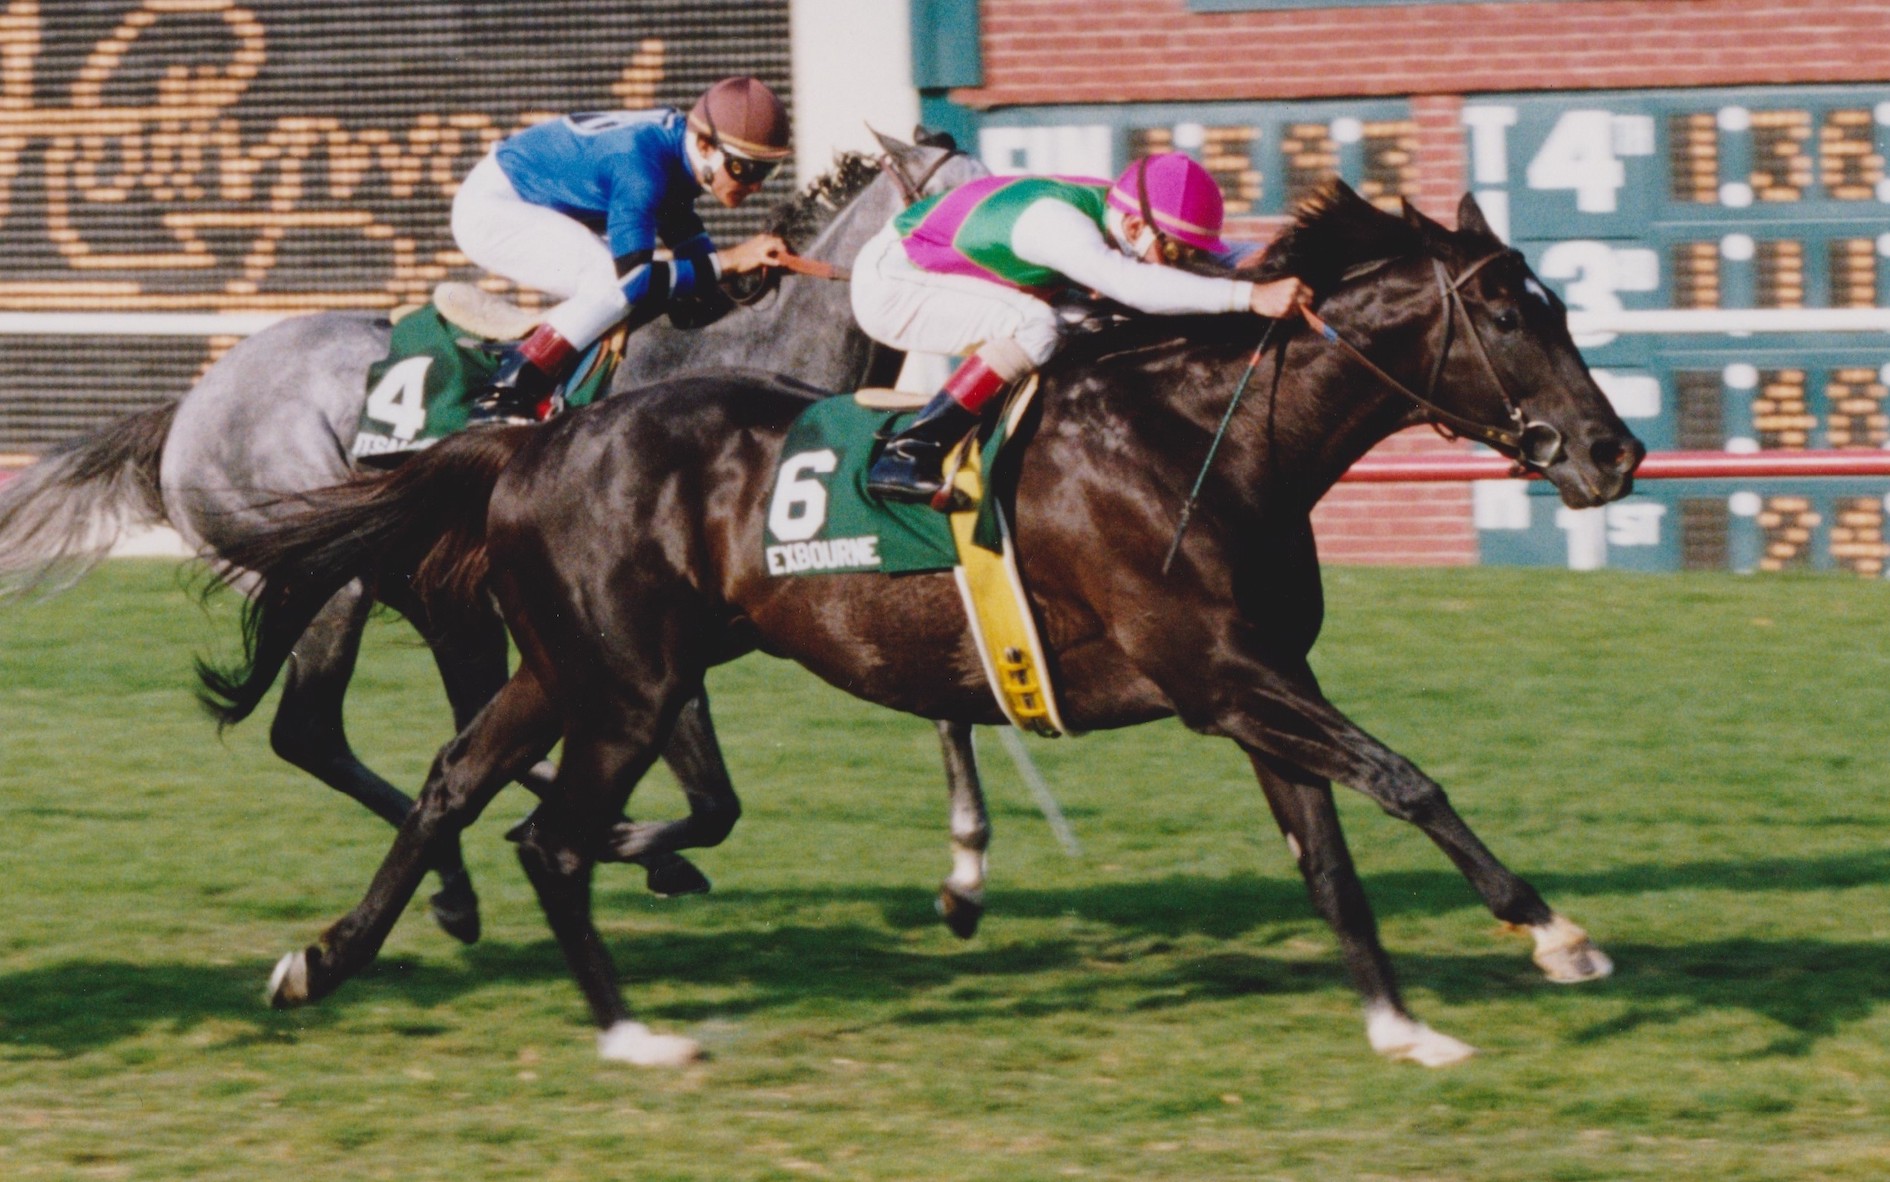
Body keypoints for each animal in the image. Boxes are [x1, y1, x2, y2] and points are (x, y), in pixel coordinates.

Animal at [0, 128, 990, 941]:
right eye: (961, 217)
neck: (739, 365)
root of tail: (188, 408)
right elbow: (713, 801)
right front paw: (637, 843)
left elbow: (942, 694)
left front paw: (964, 873)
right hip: (332, 580)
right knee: (312, 733)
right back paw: (494, 871)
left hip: (443, 600)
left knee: (436, 721)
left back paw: (472, 876)